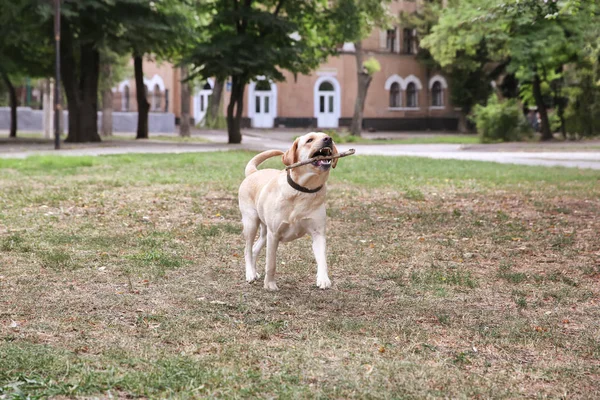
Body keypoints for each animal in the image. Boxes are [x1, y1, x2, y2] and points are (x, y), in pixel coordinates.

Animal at [240, 132, 342, 290]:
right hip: (251, 222)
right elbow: (271, 263)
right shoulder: (274, 234)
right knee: (247, 249)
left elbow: (322, 259)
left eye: (326, 135)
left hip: (265, 231)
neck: (303, 190)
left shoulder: (318, 233)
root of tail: (253, 172)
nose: (328, 139)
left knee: (255, 249)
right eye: (310, 140)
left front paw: (323, 279)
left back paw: (254, 272)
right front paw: (270, 284)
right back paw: (250, 274)